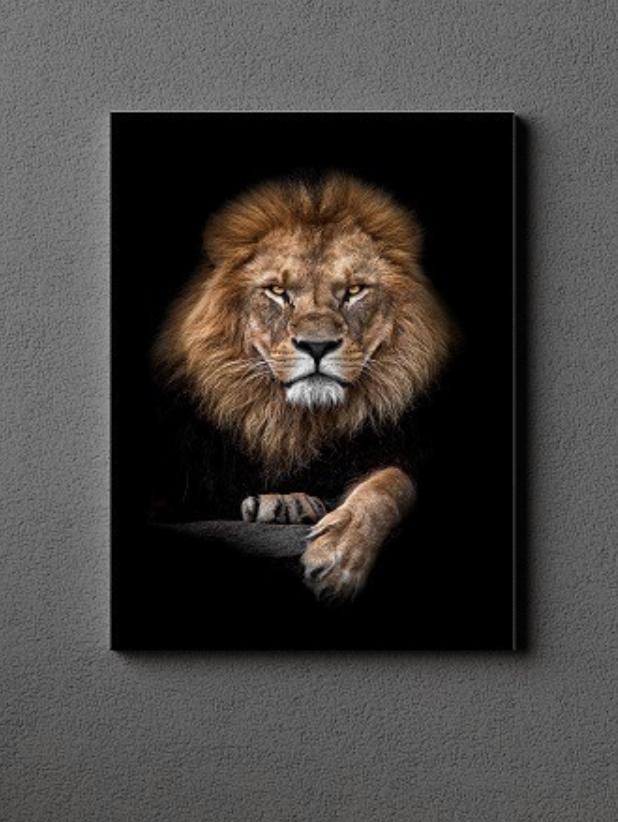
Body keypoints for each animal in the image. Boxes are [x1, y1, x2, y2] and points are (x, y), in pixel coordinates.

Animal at [152, 173, 456, 601]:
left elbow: (390, 484)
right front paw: (286, 503)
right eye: (278, 292)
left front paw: (339, 554)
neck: (298, 424)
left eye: (354, 290)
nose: (317, 346)